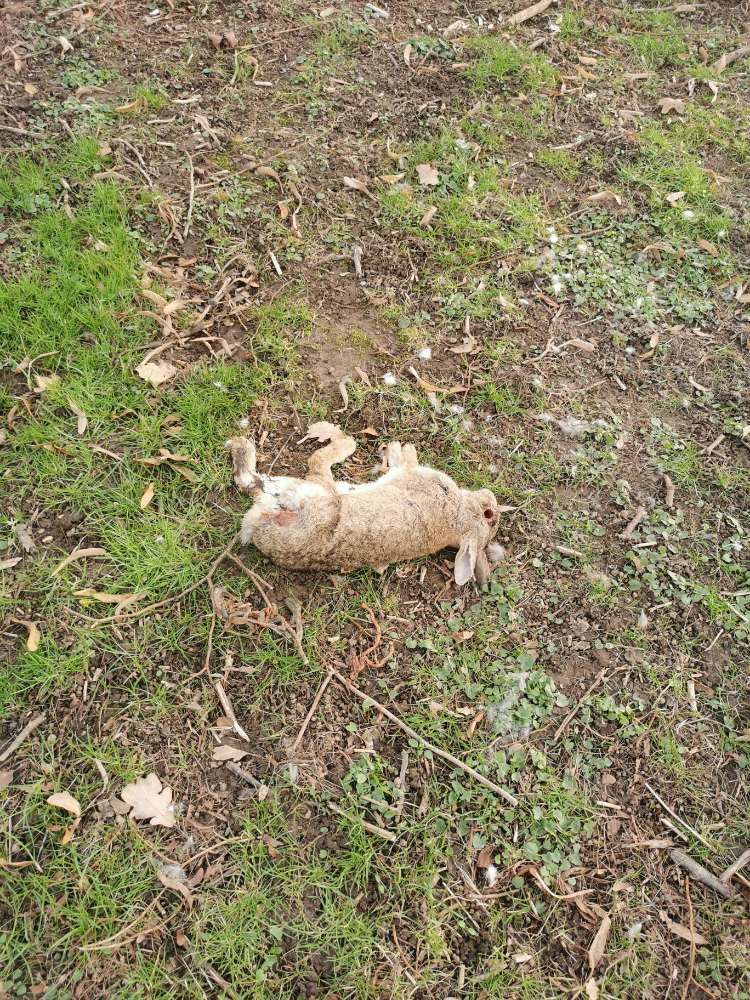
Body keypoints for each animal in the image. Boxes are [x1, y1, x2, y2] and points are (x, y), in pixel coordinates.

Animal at [228, 421, 502, 585]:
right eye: (491, 515)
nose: (491, 496)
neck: (461, 515)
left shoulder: (415, 477)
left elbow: (406, 464)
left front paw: (401, 448)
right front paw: (402, 447)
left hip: (318, 491)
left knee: (312, 462)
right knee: (250, 481)